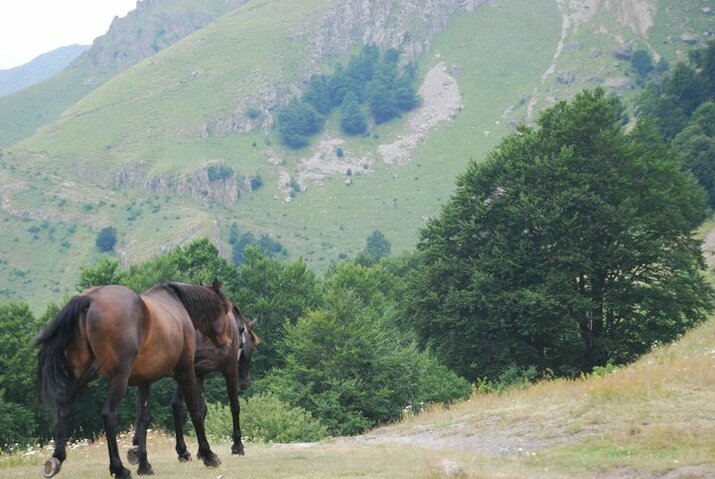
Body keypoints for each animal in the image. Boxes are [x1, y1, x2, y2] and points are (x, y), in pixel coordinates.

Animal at [35, 282, 235, 479]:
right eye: (225, 309)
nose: (228, 342)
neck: (178, 306)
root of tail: (89, 300)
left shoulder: (144, 381)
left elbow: (143, 418)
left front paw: (144, 464)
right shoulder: (186, 371)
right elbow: (196, 411)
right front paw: (209, 455)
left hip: (81, 374)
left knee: (64, 406)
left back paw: (56, 458)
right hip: (118, 378)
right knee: (108, 414)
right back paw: (119, 469)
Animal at [128, 304, 260, 464]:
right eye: (252, 347)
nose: (247, 382)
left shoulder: (196, 374)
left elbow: (195, 407)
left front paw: (195, 451)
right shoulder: (229, 370)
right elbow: (234, 406)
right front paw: (237, 445)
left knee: (144, 409)